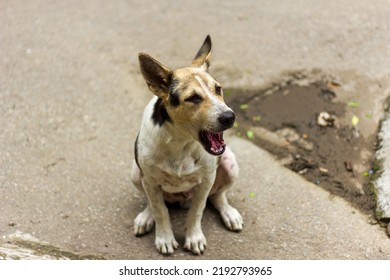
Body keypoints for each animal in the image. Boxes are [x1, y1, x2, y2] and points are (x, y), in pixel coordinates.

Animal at [131, 34, 242, 255]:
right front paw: (164, 238)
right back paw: (146, 216)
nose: (229, 117)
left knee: (218, 195)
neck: (181, 143)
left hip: (230, 164)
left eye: (218, 89)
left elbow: (197, 211)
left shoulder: (206, 180)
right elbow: (160, 210)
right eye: (193, 98)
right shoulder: (150, 180)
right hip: (135, 172)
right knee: (151, 201)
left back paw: (229, 213)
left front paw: (194, 237)